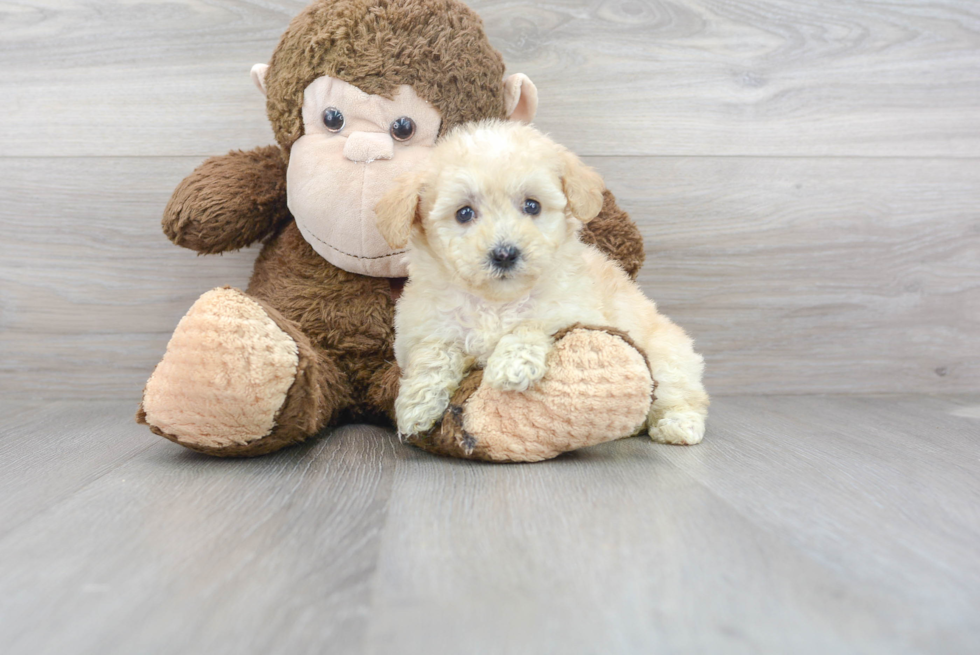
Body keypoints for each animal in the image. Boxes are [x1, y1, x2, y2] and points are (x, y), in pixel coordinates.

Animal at [374, 118, 704, 446]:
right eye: (464, 213)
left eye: (532, 206)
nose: (505, 254)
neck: (496, 302)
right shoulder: (426, 327)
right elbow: (433, 354)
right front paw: (417, 405)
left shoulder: (574, 309)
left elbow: (532, 323)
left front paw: (512, 365)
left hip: (666, 357)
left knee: (682, 395)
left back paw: (678, 424)